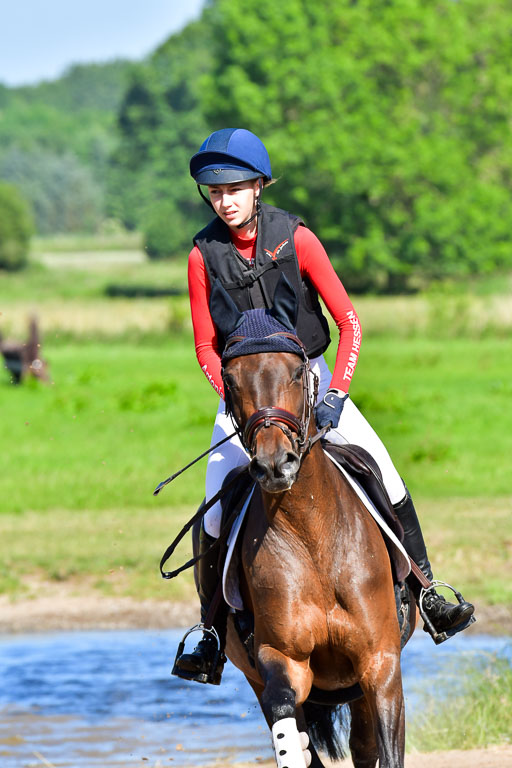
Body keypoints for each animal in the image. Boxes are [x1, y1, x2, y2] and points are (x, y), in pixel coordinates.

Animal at [199, 276, 417, 768]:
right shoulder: (282, 660)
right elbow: (286, 719)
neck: (311, 531)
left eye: (297, 372)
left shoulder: (380, 663)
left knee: (364, 746)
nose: (274, 464)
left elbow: (388, 749)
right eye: (229, 379)